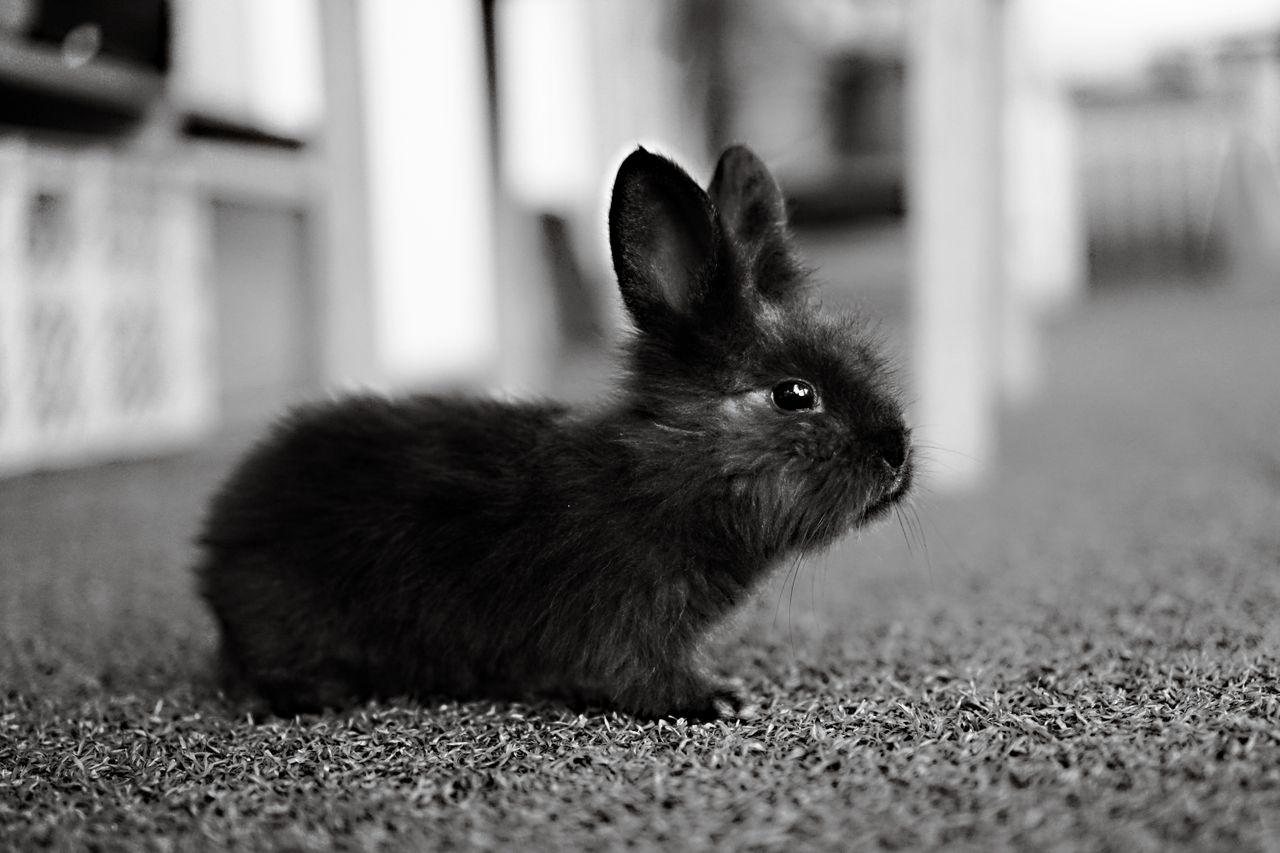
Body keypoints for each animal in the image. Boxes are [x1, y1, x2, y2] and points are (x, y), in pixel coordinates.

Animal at [196, 144, 913, 720]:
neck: (660, 475)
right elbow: (639, 675)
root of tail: (218, 540)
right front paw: (714, 699)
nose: (897, 455)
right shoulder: (625, 620)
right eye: (795, 394)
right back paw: (318, 694)